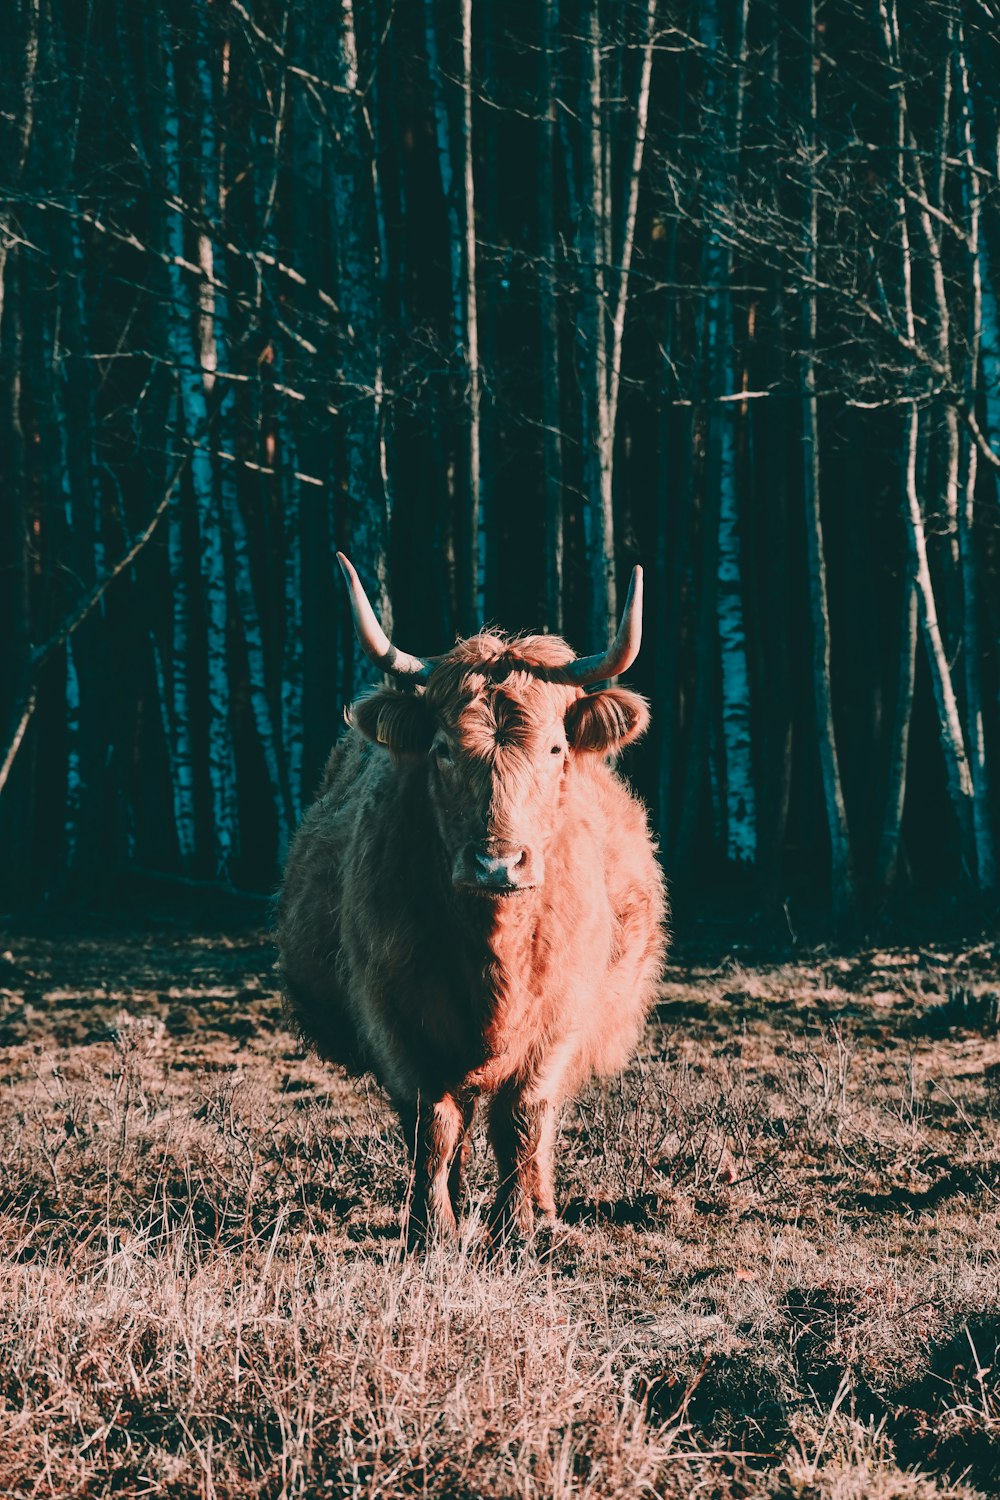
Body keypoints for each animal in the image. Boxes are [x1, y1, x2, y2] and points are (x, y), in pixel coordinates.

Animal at [274, 558, 668, 1248]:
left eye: (554, 749)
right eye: (443, 749)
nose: (497, 864)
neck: (496, 950)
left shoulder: (560, 1020)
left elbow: (523, 1120)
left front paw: (517, 1229)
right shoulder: (395, 1017)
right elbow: (432, 1126)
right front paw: (432, 1232)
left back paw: (543, 1209)